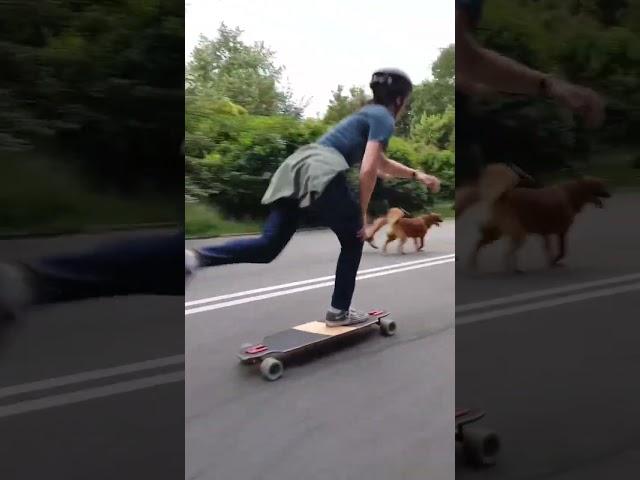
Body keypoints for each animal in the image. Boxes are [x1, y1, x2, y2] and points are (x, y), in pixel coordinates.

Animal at [470, 163, 608, 272]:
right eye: (600, 185)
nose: (610, 194)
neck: (571, 194)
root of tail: (505, 194)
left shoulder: (546, 233)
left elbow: (550, 250)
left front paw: (552, 263)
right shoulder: (561, 232)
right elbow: (562, 251)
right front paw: (555, 261)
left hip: (499, 230)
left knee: (481, 242)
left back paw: (473, 264)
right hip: (518, 233)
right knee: (507, 252)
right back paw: (513, 269)